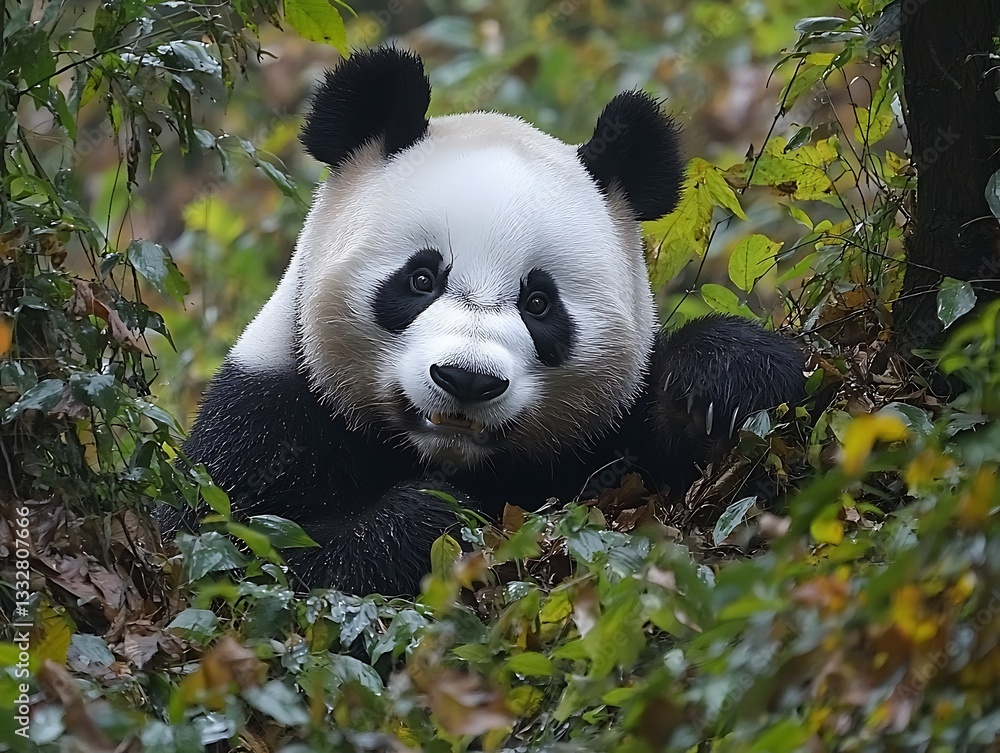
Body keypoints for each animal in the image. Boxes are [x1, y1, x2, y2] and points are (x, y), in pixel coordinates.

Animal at [171, 47, 805, 596]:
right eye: (421, 279)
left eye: (539, 302)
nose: (467, 380)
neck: (444, 456)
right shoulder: (264, 425)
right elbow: (229, 560)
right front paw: (431, 518)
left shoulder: (602, 433)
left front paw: (722, 382)